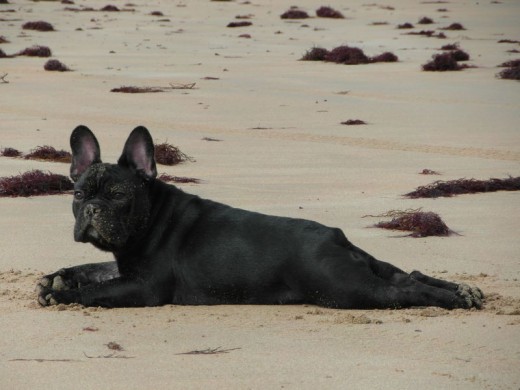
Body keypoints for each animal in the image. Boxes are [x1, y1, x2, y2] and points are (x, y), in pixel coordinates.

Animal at [36, 126, 484, 310]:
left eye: (117, 196)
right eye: (79, 194)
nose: (91, 209)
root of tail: (338, 238)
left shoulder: (143, 287)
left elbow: (97, 290)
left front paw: (64, 295)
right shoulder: (124, 265)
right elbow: (95, 269)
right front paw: (57, 277)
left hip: (346, 289)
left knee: (400, 291)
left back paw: (451, 301)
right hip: (363, 273)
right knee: (407, 274)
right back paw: (463, 291)